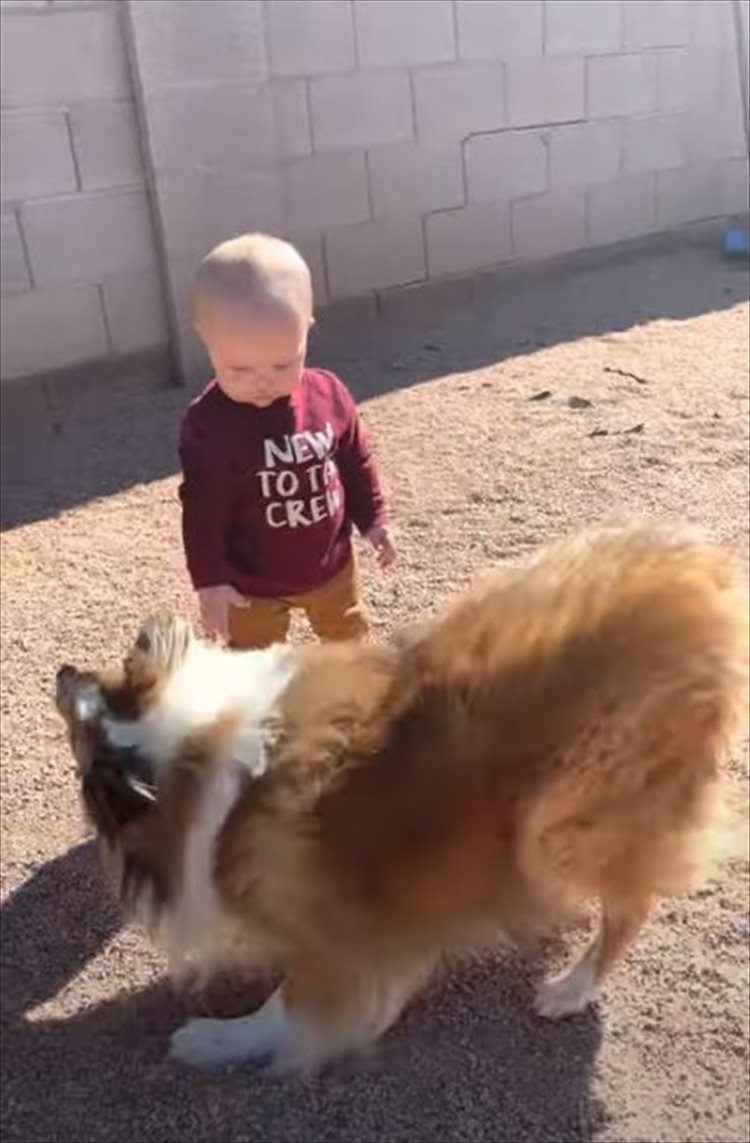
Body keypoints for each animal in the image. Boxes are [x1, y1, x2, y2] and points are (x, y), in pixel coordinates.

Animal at [55, 523, 745, 1065]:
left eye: (83, 742)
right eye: (105, 687)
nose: (62, 673)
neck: (195, 756)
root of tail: (706, 587)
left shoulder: (330, 942)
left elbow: (289, 1007)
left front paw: (215, 1039)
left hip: (565, 820)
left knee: (631, 903)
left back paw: (570, 988)